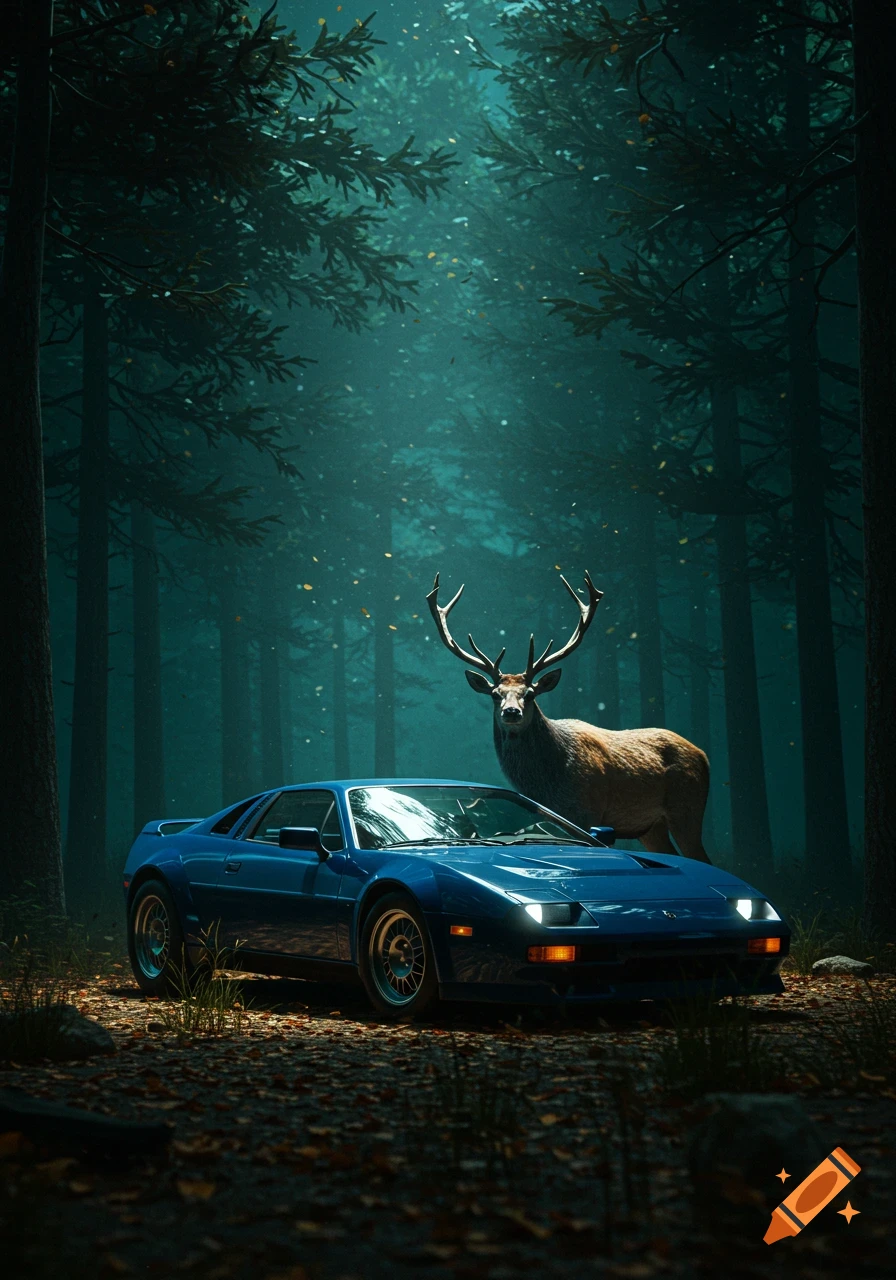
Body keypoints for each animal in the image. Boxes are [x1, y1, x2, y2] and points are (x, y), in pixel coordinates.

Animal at [426, 571, 711, 863]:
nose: (511, 712)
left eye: (530, 693)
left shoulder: (588, 809)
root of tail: (703, 754)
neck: (549, 782)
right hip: (650, 826)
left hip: (687, 805)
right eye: (495, 694)